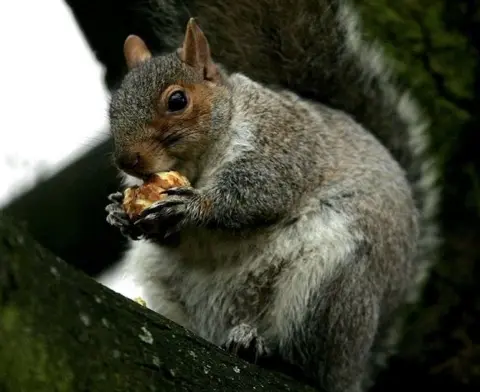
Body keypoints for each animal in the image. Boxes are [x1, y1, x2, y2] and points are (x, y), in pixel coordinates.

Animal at [104, 1, 438, 390]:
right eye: (113, 107)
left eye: (177, 100)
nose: (128, 159)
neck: (198, 163)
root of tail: (354, 370)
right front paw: (118, 213)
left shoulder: (281, 142)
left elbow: (258, 193)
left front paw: (191, 206)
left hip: (329, 288)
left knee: (309, 362)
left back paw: (262, 348)